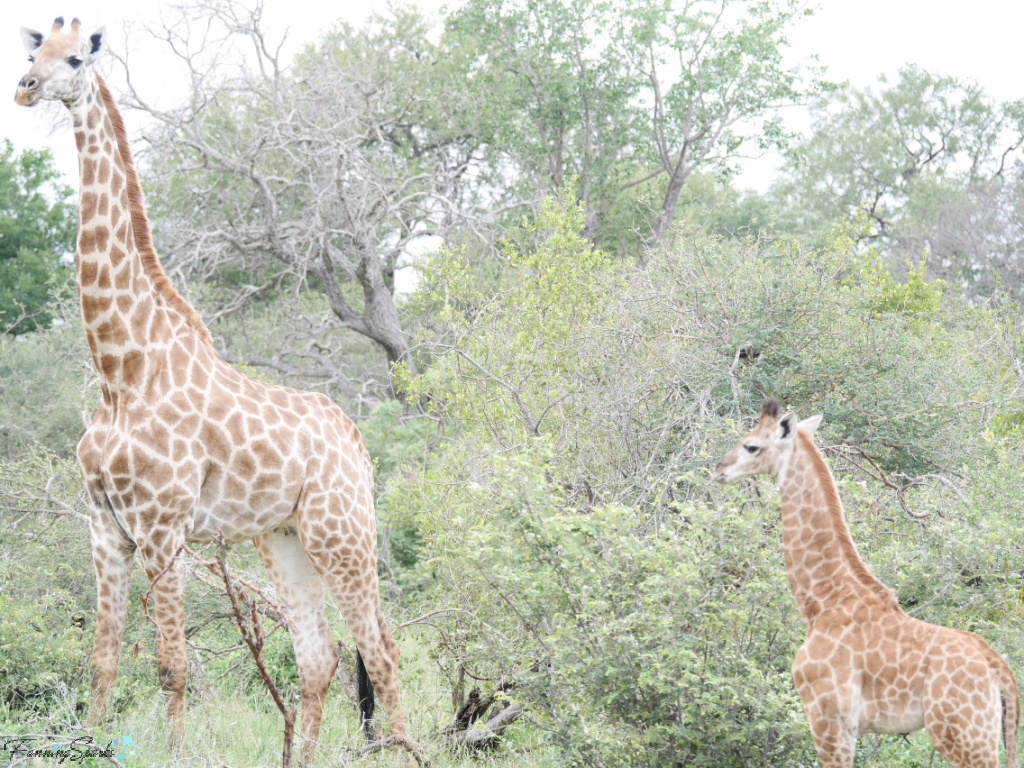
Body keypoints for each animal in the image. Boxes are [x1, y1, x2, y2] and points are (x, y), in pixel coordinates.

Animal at [12, 15, 415, 761]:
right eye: (35, 51)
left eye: (75, 58)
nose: (25, 88)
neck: (120, 370)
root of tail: (357, 441)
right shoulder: (104, 529)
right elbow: (102, 660)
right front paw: (88, 743)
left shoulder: (162, 526)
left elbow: (172, 666)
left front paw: (172, 755)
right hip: (284, 539)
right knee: (320, 659)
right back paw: (304, 759)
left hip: (344, 531)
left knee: (383, 651)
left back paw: (405, 752)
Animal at [712, 397, 1015, 768]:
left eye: (751, 445)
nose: (718, 469)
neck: (822, 600)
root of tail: (998, 667)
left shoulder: (828, 719)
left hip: (963, 734)